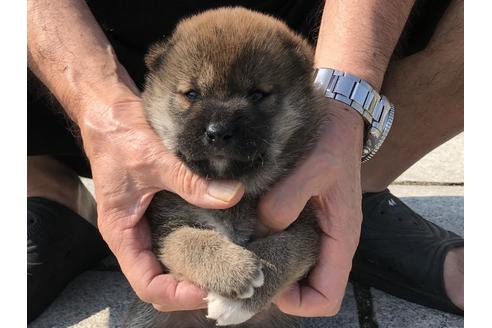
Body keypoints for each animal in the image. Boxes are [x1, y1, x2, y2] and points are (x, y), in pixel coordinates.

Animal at [123, 7, 324, 328]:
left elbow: (288, 249)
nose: (217, 132)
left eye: (257, 94)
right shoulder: (164, 225)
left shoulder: (306, 226)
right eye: (192, 94)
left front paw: (243, 291)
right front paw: (235, 270)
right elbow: (187, 241)